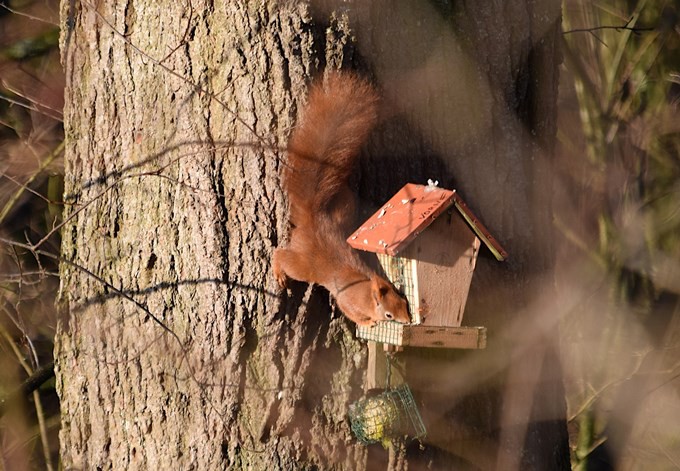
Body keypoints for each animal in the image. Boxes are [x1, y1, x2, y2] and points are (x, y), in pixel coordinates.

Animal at [273, 72, 411, 327]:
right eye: (389, 314)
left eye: (403, 301)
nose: (407, 321)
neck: (366, 289)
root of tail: (313, 217)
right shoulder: (347, 300)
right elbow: (349, 311)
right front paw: (368, 323)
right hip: (303, 266)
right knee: (282, 256)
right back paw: (279, 272)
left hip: (343, 209)